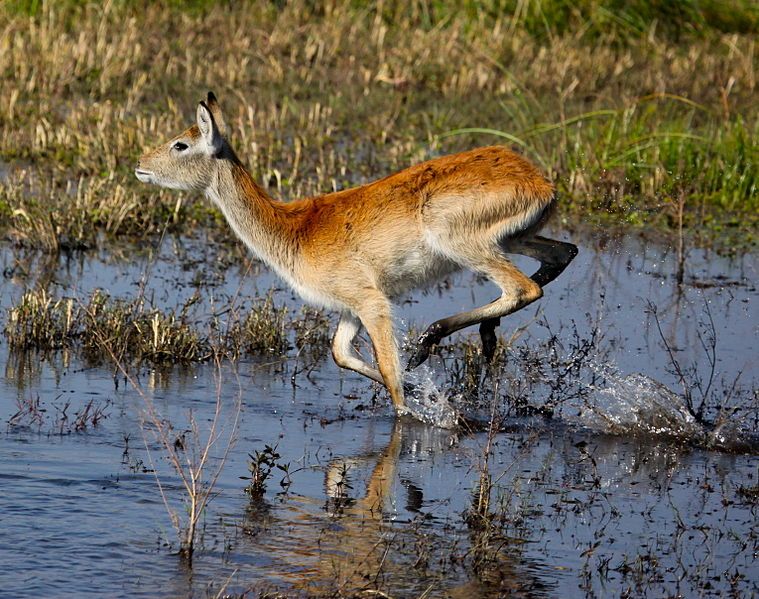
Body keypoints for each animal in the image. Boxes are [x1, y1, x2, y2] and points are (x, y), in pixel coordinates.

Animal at [137, 94, 576, 414]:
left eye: (181, 143)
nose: (140, 164)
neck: (294, 229)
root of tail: (541, 182)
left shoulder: (372, 302)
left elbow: (391, 378)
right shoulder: (349, 308)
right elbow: (340, 354)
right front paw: (420, 388)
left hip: (461, 242)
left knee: (523, 289)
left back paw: (435, 337)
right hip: (513, 239)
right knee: (564, 253)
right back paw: (476, 336)